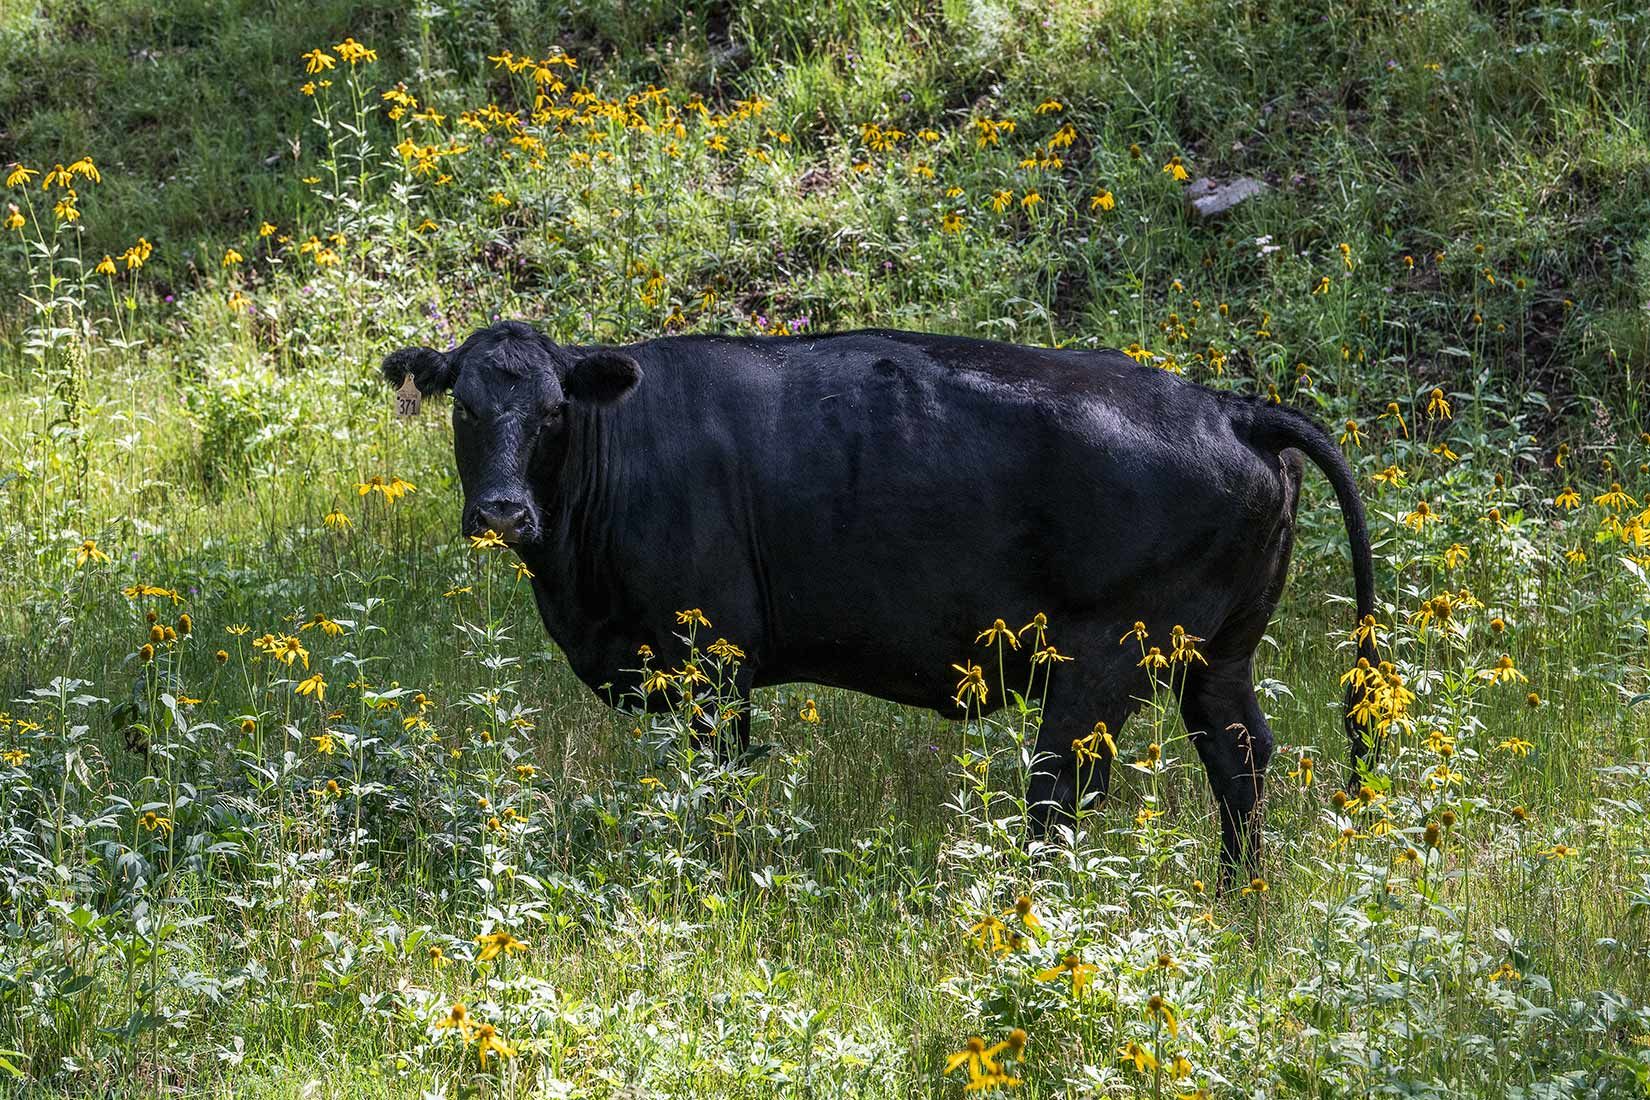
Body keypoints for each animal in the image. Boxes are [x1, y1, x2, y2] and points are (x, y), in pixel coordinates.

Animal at [381, 321, 1375, 883]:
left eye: (554, 411)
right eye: (465, 407)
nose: (502, 512)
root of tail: (1233, 408)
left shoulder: (712, 663)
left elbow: (716, 784)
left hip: (1105, 661)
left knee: (1063, 791)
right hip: (1219, 654)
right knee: (1240, 760)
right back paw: (1239, 903)